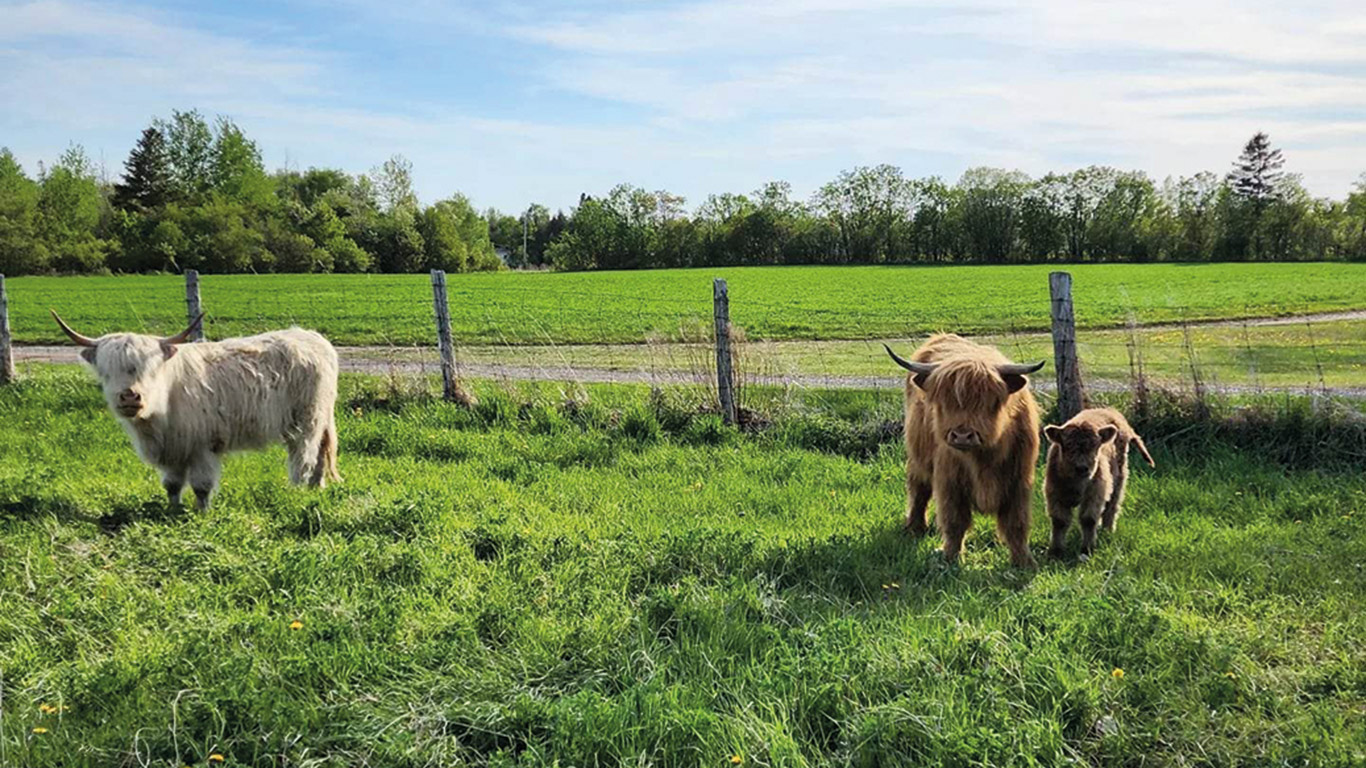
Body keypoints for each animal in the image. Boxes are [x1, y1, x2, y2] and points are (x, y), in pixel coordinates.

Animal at [53, 311, 341, 508]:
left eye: (150, 367)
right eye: (106, 369)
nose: (130, 396)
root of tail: (312, 337)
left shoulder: (202, 446)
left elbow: (201, 486)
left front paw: (201, 514)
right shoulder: (172, 450)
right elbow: (171, 485)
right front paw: (173, 509)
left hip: (306, 421)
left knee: (303, 458)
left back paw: (296, 493)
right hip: (319, 418)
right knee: (320, 453)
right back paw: (317, 487)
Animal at [885, 334, 1043, 568]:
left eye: (991, 401)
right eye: (943, 400)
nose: (961, 435)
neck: (983, 459)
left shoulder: (1019, 481)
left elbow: (1016, 524)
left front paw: (1024, 562)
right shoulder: (949, 481)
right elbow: (955, 521)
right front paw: (951, 558)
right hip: (917, 458)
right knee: (918, 488)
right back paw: (915, 527)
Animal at [1043, 407, 1152, 554]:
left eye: (1095, 445)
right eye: (1068, 445)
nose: (1082, 468)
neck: (1077, 483)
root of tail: (1111, 411)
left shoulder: (1095, 492)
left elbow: (1088, 519)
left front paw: (1087, 548)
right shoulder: (1054, 493)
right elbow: (1059, 521)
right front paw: (1056, 550)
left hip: (1119, 479)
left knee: (1111, 507)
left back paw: (1107, 531)